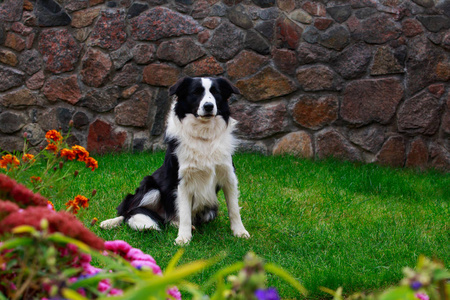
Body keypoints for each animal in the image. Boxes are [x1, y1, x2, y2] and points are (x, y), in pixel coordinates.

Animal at [99, 76, 250, 245]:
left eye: (215, 92)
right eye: (195, 92)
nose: (209, 106)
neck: (204, 137)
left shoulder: (228, 176)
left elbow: (234, 209)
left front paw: (239, 232)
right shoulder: (182, 181)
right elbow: (184, 213)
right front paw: (183, 238)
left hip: (209, 210)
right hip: (150, 186)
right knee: (128, 212)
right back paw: (109, 222)